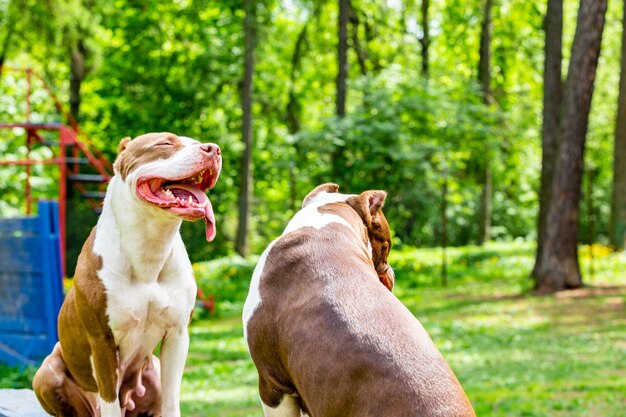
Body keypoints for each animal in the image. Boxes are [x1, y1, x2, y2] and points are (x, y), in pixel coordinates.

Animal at [33, 132, 222, 416]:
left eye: (199, 142)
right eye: (166, 143)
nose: (214, 149)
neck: (149, 247)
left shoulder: (177, 335)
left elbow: (171, 401)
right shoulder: (102, 341)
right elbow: (109, 401)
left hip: (153, 370)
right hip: (46, 372)